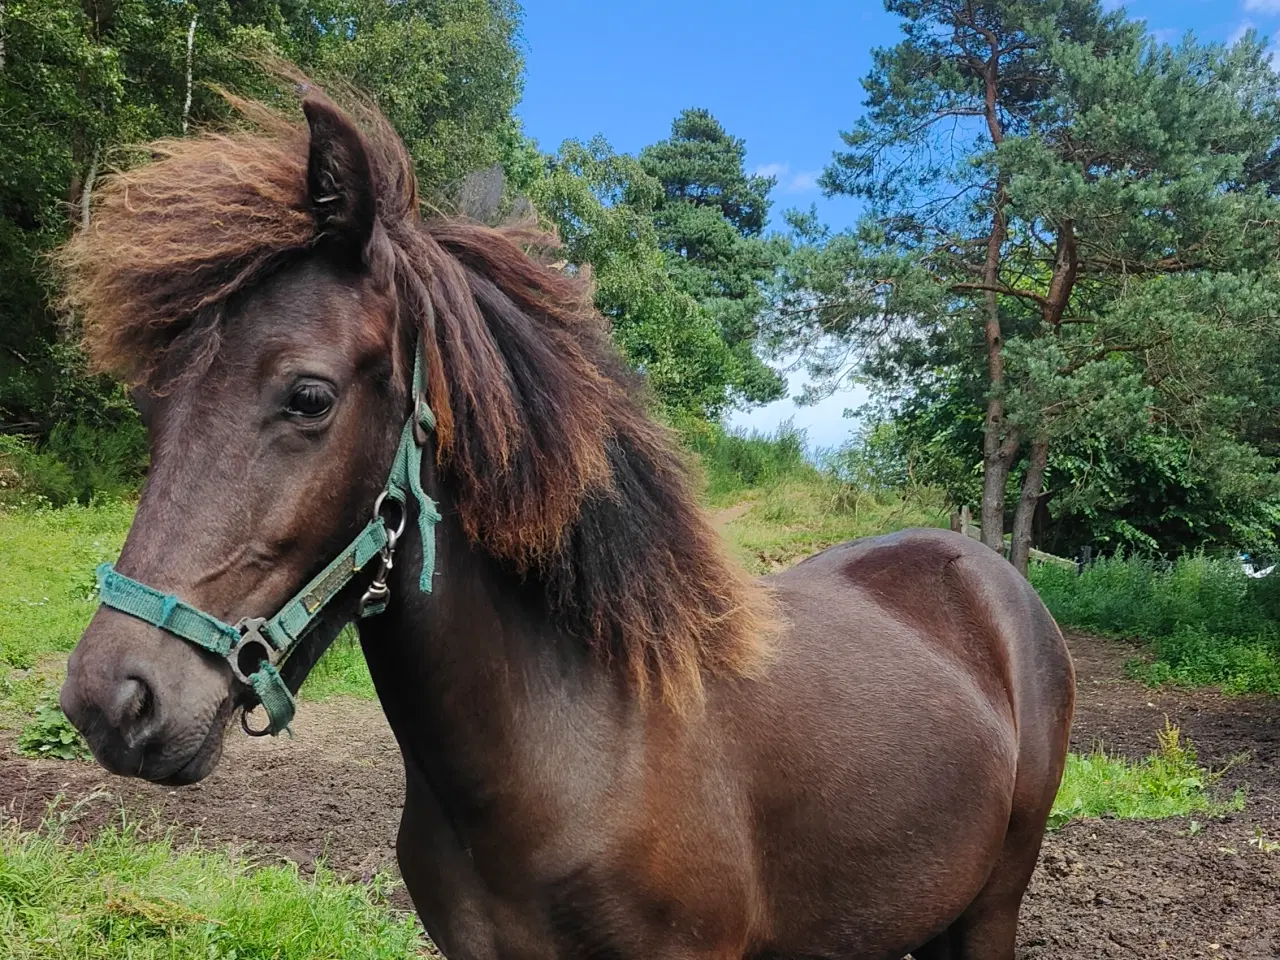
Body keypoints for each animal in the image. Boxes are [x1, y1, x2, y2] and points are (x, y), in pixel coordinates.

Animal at [60, 86, 1075, 957]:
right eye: (149, 406)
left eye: (309, 396)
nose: (112, 700)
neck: (582, 745)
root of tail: (987, 574)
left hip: (991, 907)